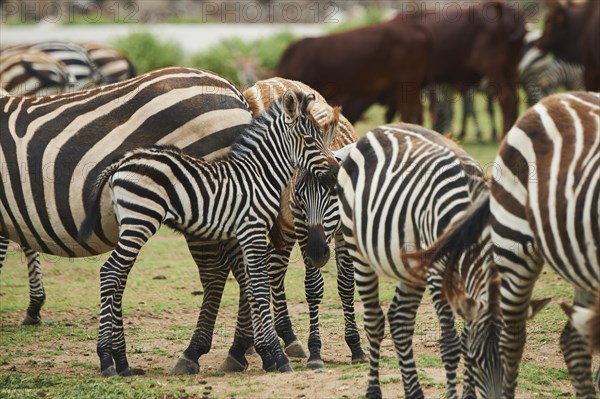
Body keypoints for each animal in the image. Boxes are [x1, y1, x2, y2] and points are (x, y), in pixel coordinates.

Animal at [76, 90, 338, 378]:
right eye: (310, 139)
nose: (337, 171)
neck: (260, 176)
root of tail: (123, 161)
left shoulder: (244, 236)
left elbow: (251, 286)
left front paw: (263, 353)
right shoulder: (253, 230)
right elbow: (259, 286)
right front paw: (278, 357)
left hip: (132, 224)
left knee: (116, 275)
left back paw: (121, 362)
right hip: (140, 220)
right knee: (110, 272)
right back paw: (106, 360)